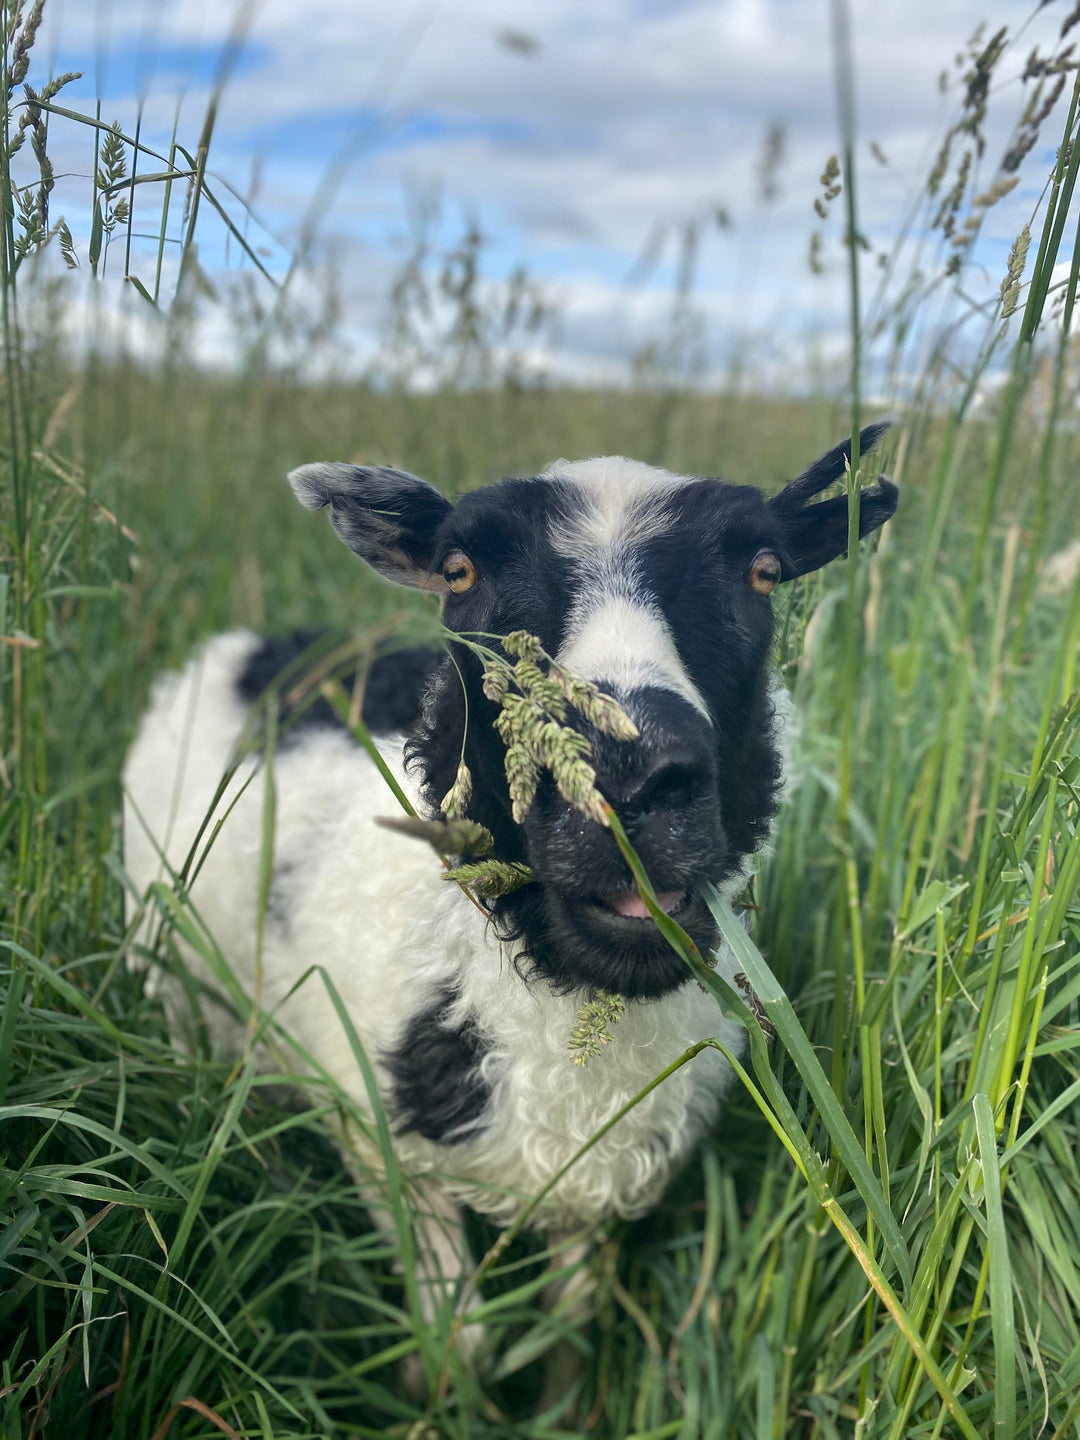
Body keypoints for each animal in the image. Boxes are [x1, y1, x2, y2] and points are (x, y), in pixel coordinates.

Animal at [122, 420, 898, 1347]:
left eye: (764, 570)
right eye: (460, 572)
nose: (626, 774)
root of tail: (256, 649)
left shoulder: (597, 1174)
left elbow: (569, 1322)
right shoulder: (397, 1161)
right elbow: (460, 1339)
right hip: (172, 964)